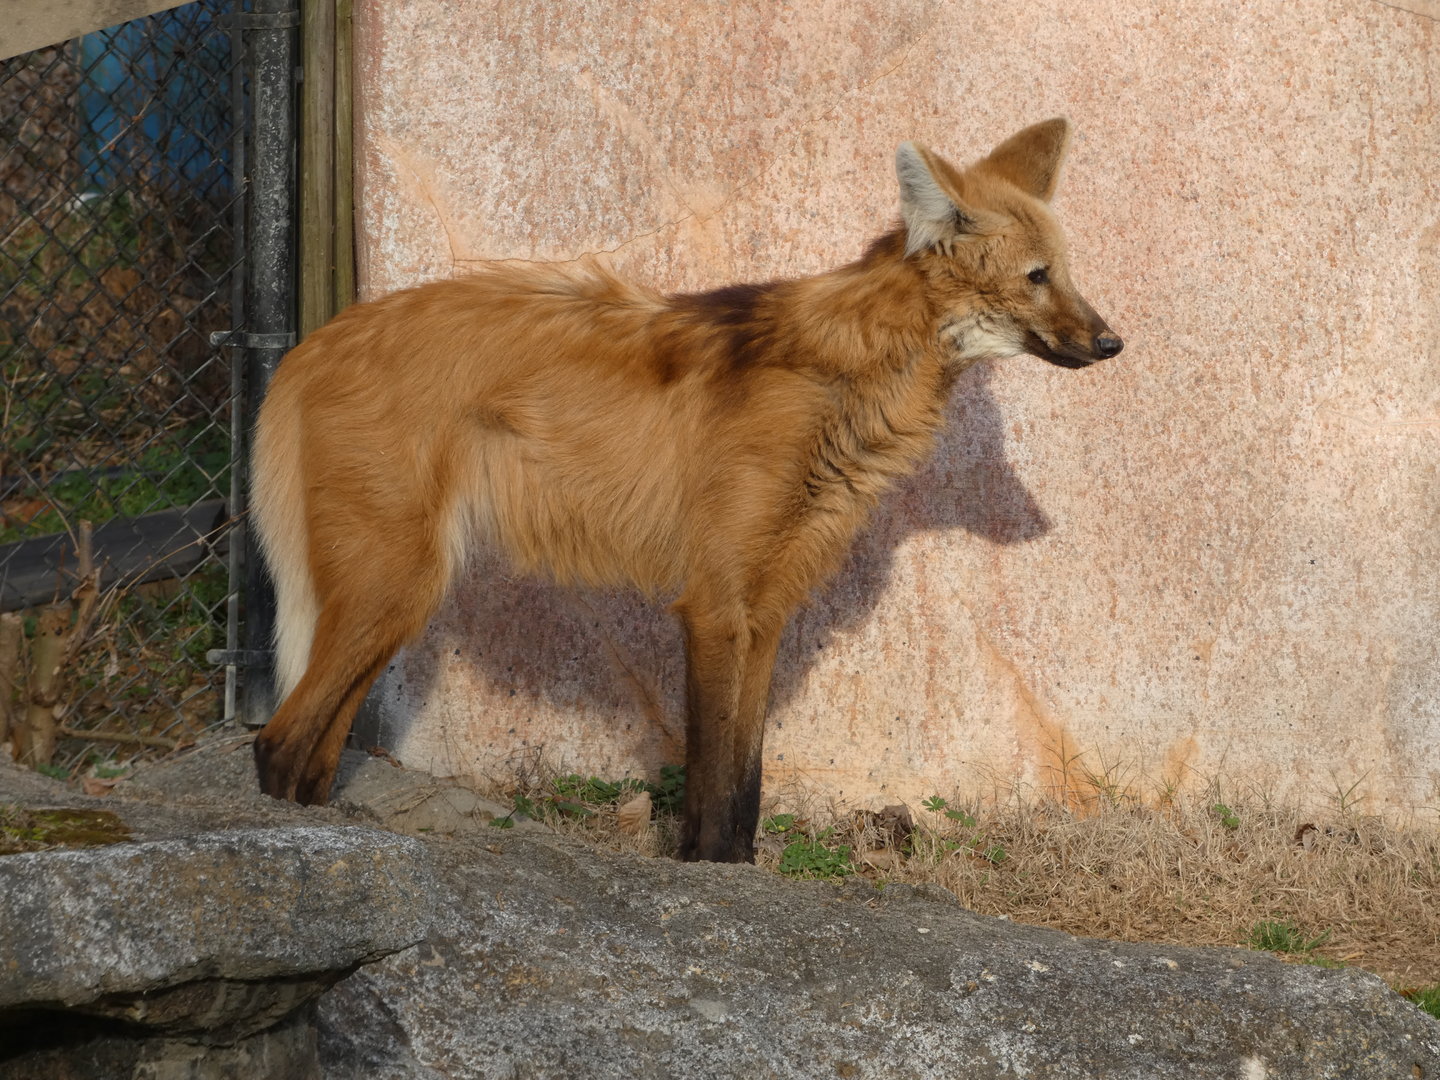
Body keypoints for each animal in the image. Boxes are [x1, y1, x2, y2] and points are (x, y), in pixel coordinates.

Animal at [250, 117, 1122, 863]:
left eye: (1068, 274)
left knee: (313, 748)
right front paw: (706, 872)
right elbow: (713, 784)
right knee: (276, 741)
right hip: (397, 583)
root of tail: (311, 344)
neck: (847, 382)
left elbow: (746, 781)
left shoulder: (765, 611)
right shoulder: (714, 603)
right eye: (1038, 277)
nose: (1113, 341)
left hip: (395, 598)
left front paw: (734, 874)